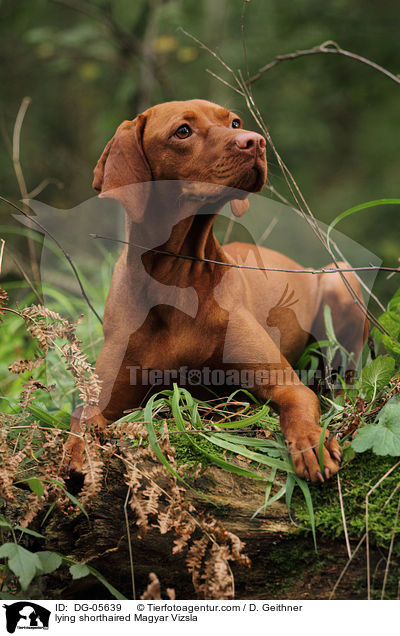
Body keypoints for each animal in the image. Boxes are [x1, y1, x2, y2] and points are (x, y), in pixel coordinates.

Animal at [67, 98, 368, 482]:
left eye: (234, 121)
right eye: (183, 131)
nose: (256, 141)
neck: (177, 282)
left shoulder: (285, 384)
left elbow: (299, 408)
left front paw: (312, 443)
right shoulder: (106, 397)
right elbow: (81, 417)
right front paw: (78, 453)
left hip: (338, 277)